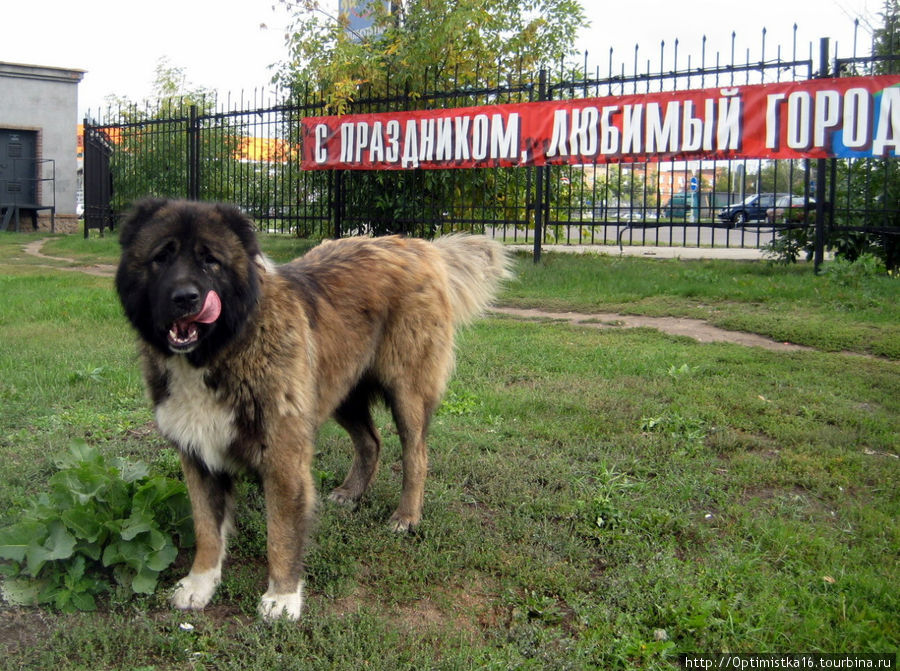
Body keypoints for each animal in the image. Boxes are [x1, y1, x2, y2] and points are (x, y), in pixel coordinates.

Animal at [118, 198, 512, 620]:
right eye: (161, 257)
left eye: (211, 261)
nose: (186, 297)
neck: (223, 349)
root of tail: (419, 246)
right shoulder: (198, 454)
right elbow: (207, 529)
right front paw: (199, 583)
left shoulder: (283, 456)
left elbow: (282, 533)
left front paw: (282, 596)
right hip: (338, 388)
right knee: (371, 442)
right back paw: (351, 493)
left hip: (406, 392)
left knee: (415, 455)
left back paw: (405, 517)